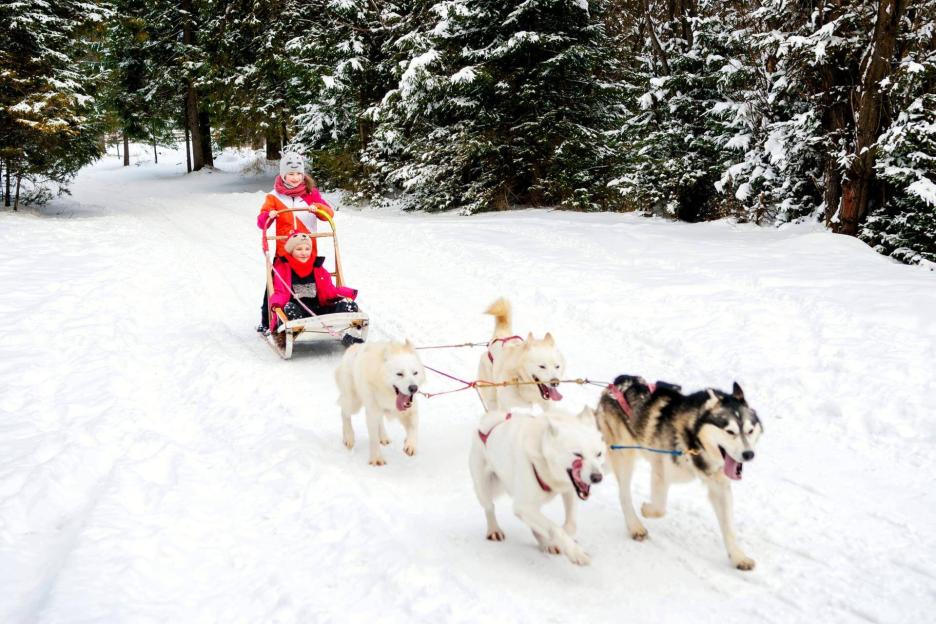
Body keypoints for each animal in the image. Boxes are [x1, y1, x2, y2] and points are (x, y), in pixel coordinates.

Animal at [469, 406, 605, 565]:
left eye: (599, 454)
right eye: (578, 454)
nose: (597, 477)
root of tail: (490, 421)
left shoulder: (570, 489)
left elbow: (571, 524)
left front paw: (564, 539)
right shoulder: (523, 505)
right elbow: (555, 529)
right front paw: (575, 552)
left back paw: (546, 543)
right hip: (482, 488)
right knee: (489, 507)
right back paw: (494, 530)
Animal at [594, 375, 764, 570]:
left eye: (750, 431)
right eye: (730, 432)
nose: (749, 454)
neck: (694, 441)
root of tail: (614, 384)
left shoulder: (720, 486)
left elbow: (729, 528)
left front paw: (738, 557)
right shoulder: (660, 471)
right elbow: (659, 509)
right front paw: (646, 510)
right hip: (624, 456)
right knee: (624, 495)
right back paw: (635, 526)